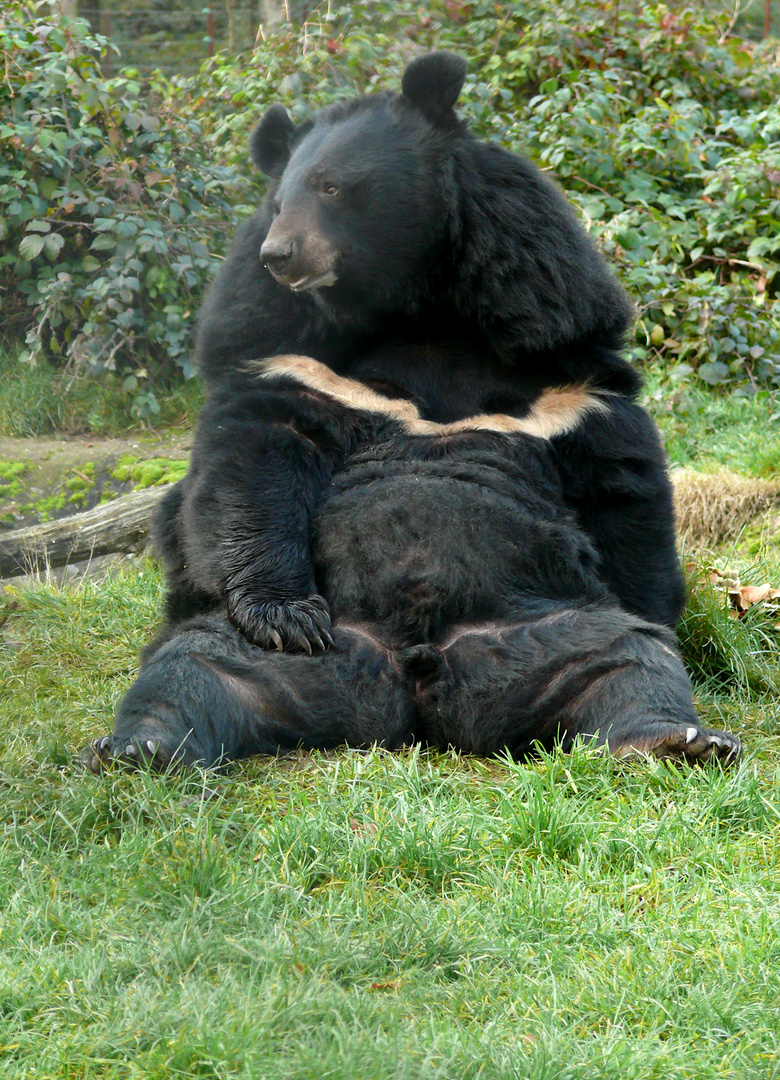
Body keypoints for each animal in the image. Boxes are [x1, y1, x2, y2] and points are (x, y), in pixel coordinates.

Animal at [88, 52, 738, 768]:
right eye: (278, 203)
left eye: (332, 187)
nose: (278, 255)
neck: (420, 308)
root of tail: (411, 681)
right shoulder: (288, 355)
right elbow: (255, 463)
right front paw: (285, 616)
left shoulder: (568, 373)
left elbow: (624, 496)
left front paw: (660, 614)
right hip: (280, 646)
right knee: (195, 667)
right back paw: (141, 745)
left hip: (551, 626)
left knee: (624, 658)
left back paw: (675, 737)